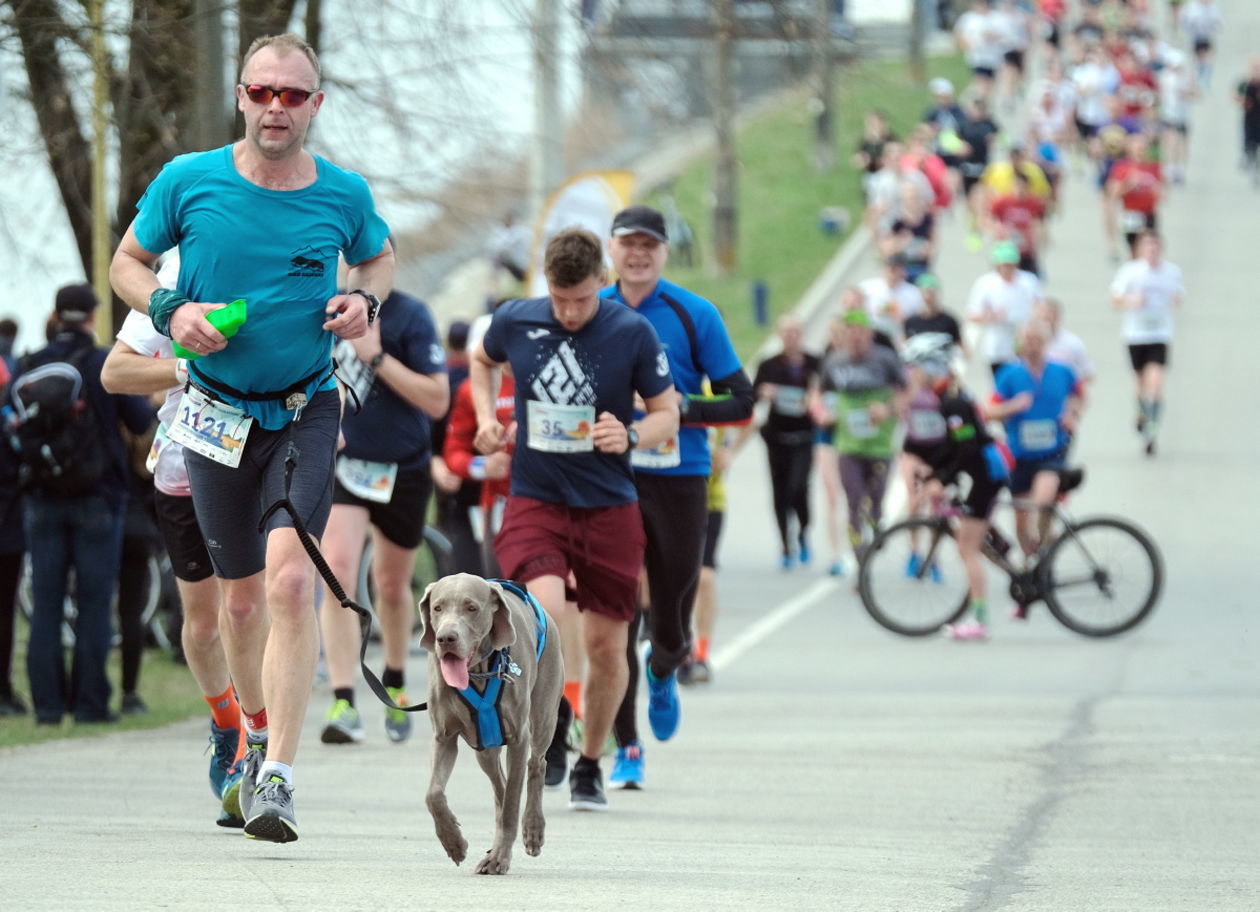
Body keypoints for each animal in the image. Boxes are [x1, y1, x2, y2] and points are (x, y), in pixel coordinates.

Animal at [420, 574, 564, 871]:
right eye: (437, 608)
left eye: (471, 608)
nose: (446, 638)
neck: (478, 672)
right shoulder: (443, 737)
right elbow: (433, 794)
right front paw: (453, 842)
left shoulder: (519, 739)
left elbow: (512, 804)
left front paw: (499, 859)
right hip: (483, 744)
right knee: (500, 786)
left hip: (544, 717)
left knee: (536, 766)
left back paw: (533, 829)